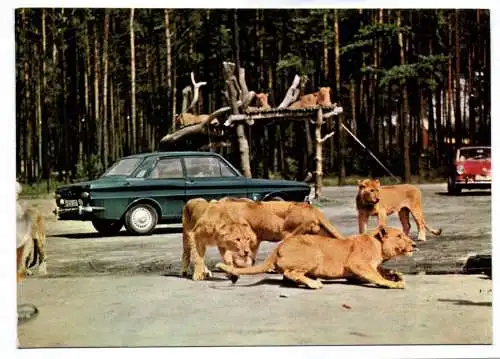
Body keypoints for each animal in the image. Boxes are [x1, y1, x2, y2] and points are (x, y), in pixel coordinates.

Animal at [217, 226, 416, 292]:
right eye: (400, 236)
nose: (414, 244)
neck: (378, 245)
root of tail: (278, 247)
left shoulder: (358, 272)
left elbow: (382, 270)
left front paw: (396, 274)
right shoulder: (356, 264)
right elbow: (377, 276)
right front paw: (394, 283)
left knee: (288, 276)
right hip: (315, 253)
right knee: (291, 273)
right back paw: (313, 284)